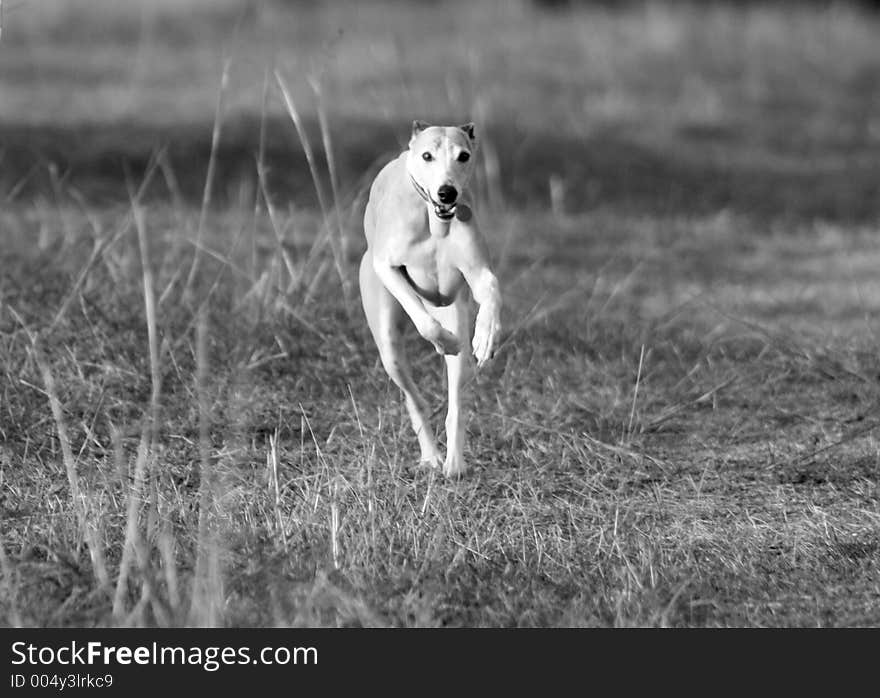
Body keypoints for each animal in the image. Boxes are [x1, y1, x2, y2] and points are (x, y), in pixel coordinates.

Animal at [360, 121, 502, 478]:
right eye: (427, 156)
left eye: (463, 156)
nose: (447, 193)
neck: (434, 220)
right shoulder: (387, 267)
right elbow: (422, 319)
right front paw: (444, 340)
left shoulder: (477, 271)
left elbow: (491, 288)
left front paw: (486, 336)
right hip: (389, 348)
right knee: (415, 399)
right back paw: (431, 456)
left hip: (457, 313)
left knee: (456, 402)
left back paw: (454, 462)